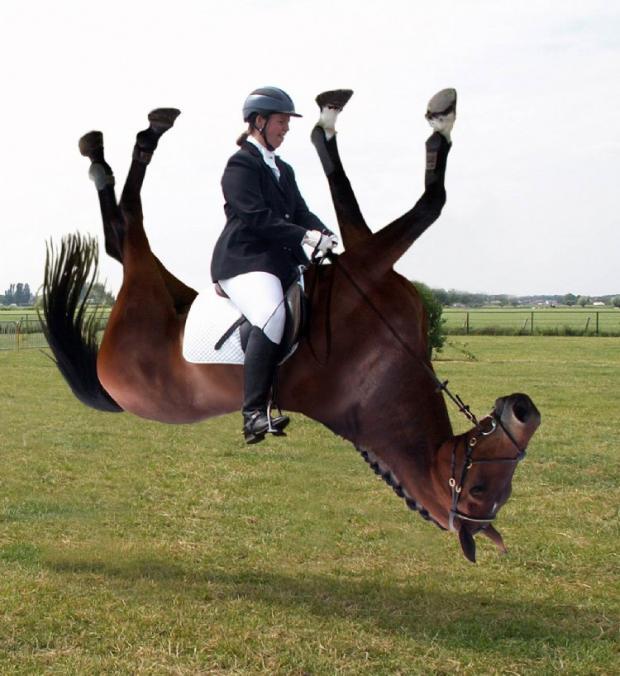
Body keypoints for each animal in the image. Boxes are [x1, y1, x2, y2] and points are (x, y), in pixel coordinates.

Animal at [42, 90, 540, 562]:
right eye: (480, 487)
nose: (524, 410)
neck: (375, 377)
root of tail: (108, 382)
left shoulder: (365, 269)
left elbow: (409, 204)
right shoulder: (364, 267)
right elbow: (417, 203)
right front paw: (353, 120)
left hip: (150, 293)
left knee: (122, 236)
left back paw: (121, 147)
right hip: (144, 292)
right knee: (124, 234)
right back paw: (125, 142)